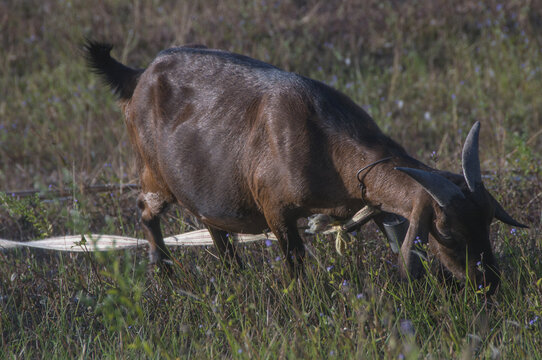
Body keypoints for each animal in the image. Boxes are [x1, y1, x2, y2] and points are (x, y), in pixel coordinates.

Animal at [85, 40, 528, 294]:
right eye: (448, 231)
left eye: (488, 219)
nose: (489, 283)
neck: (326, 141)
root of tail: (139, 76)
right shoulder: (276, 210)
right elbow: (295, 264)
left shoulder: (373, 205)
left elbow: (399, 244)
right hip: (153, 174)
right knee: (146, 211)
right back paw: (163, 271)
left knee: (213, 223)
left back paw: (233, 271)